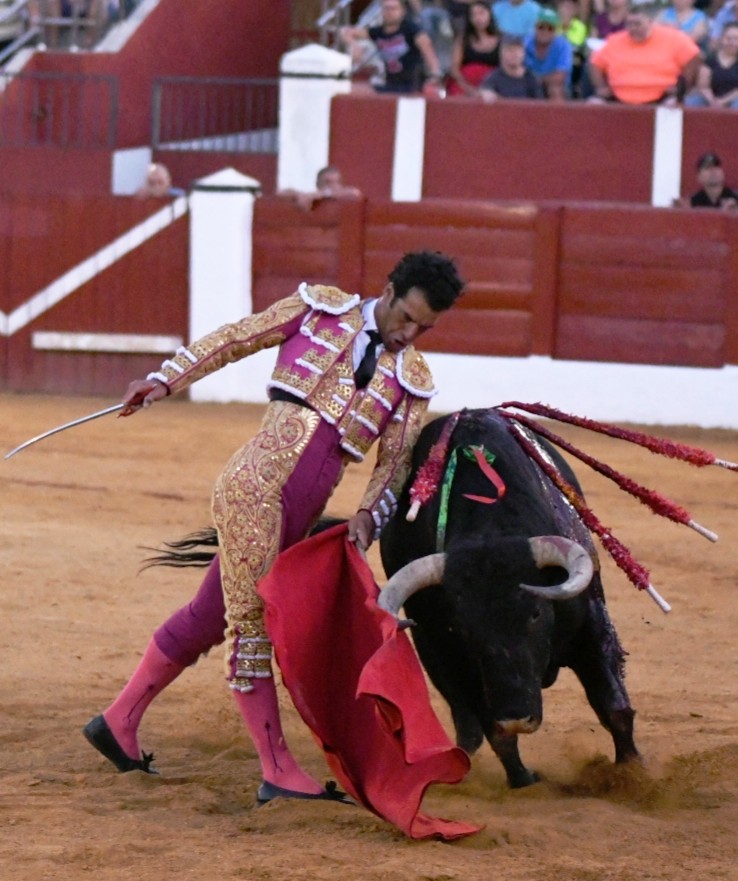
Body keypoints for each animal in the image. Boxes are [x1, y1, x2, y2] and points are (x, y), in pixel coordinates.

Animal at [377, 407, 639, 788]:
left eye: (536, 614)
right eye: (465, 628)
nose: (516, 715)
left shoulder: (591, 621)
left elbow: (613, 704)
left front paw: (633, 772)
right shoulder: (448, 650)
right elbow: (493, 729)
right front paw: (522, 778)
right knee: (468, 719)